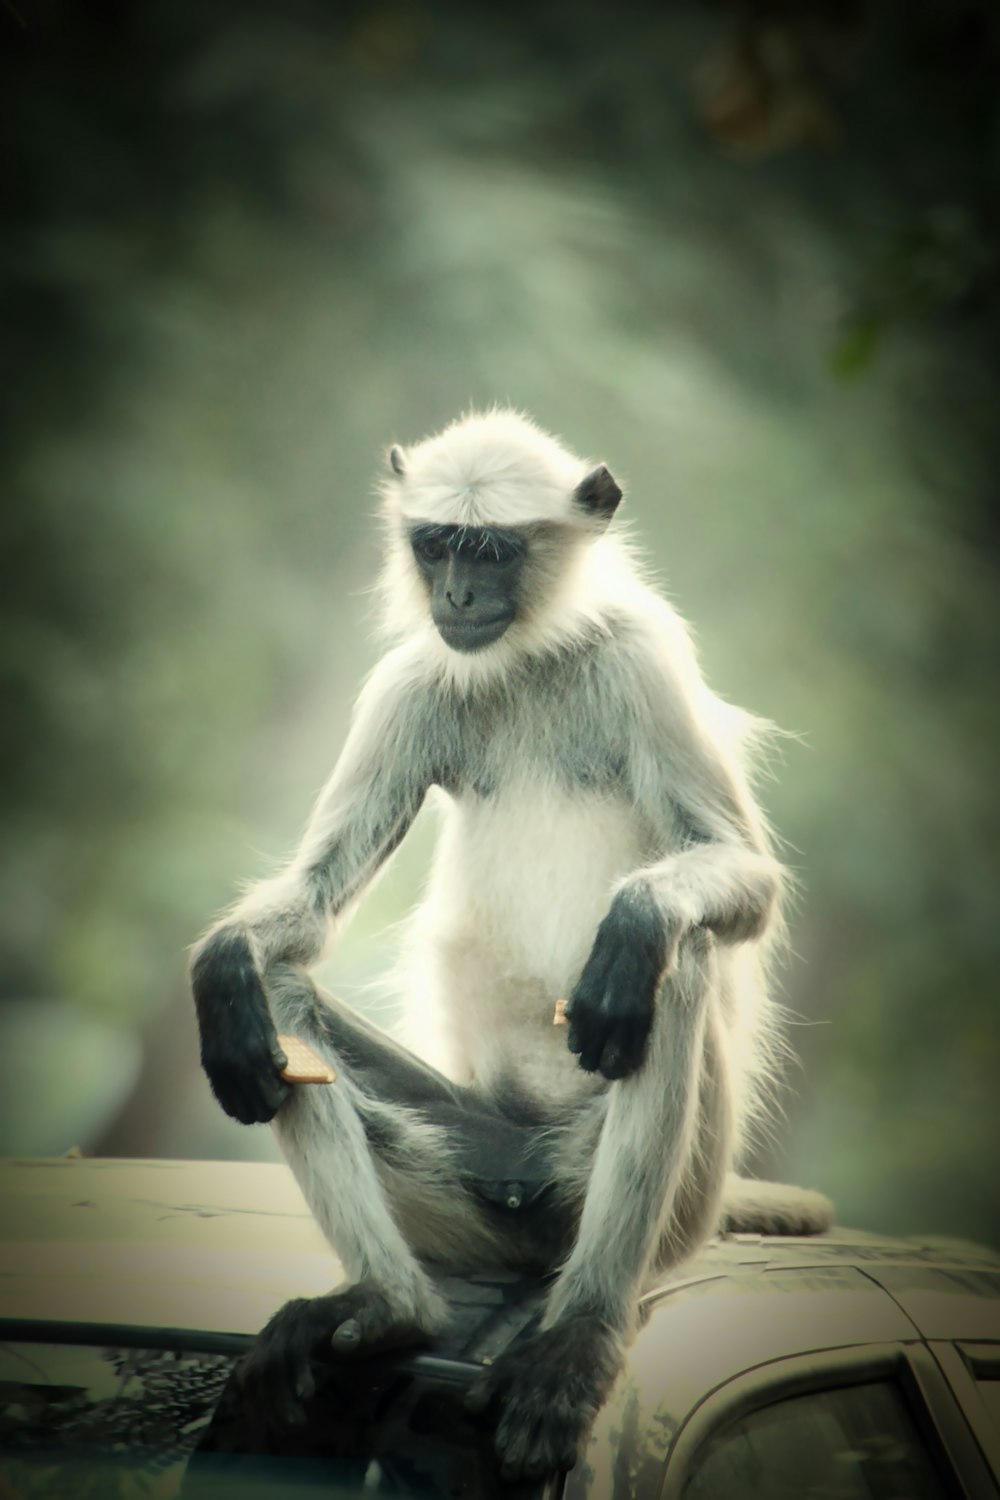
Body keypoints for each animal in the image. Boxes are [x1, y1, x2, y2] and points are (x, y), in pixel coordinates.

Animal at [187, 408, 827, 1476]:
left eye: (491, 550)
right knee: (271, 996)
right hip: (475, 1174)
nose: (454, 594)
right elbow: (308, 907)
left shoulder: (643, 658)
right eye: (435, 544)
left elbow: (739, 878)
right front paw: (220, 961)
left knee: (672, 969)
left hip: (666, 1196)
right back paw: (390, 1305)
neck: (530, 660)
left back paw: (578, 1337)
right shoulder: (409, 680)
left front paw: (637, 920)